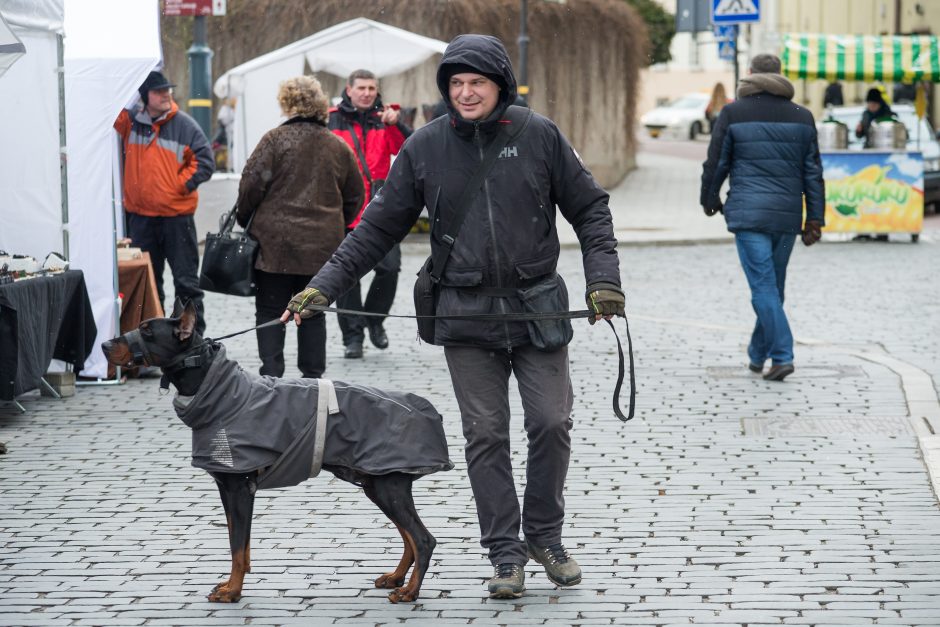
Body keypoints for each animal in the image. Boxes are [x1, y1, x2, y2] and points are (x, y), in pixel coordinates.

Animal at [104, 302, 450, 604]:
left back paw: (410, 592)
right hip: (377, 486)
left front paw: (233, 592)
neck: (219, 390)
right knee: (409, 537)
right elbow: (238, 542)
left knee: (423, 539)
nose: (106, 345)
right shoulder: (227, 488)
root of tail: (431, 413)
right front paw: (231, 584)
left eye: (147, 331)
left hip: (388, 486)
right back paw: (396, 578)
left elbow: (236, 546)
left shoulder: (239, 487)